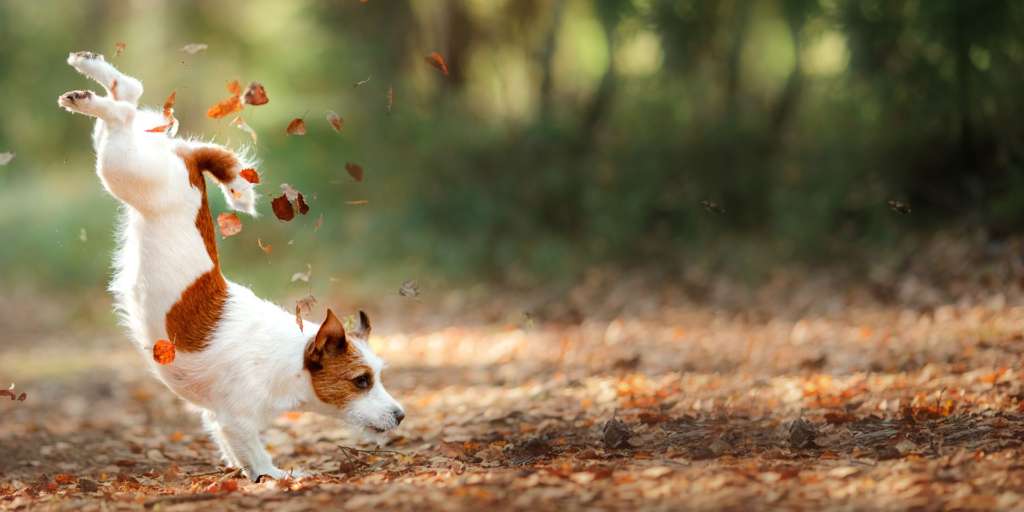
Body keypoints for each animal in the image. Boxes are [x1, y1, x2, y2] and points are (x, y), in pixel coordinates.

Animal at [58, 50, 403, 479]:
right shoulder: (236, 420)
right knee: (123, 109)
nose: (401, 415)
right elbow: (257, 456)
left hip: (126, 152)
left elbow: (237, 453)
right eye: (361, 381)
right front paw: (278, 478)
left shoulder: (217, 419)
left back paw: (89, 74)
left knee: (130, 96)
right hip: (125, 166)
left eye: (379, 375)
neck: (289, 358)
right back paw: (84, 94)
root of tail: (189, 160)